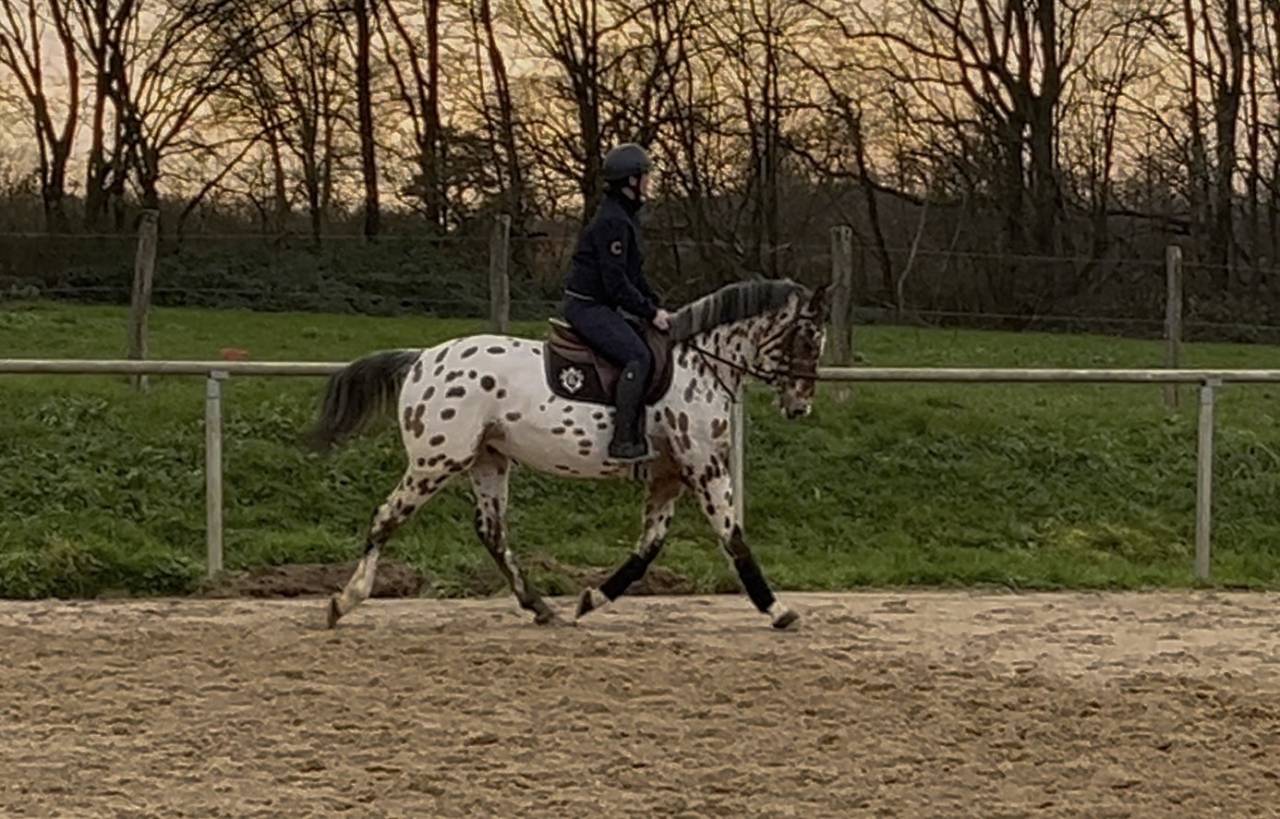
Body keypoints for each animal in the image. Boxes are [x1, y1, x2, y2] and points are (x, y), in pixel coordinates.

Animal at [309, 278, 830, 629]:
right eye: (807, 339)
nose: (800, 405)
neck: (701, 364)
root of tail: (420, 359)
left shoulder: (669, 474)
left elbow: (648, 548)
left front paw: (591, 599)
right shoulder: (704, 466)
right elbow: (734, 538)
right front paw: (779, 609)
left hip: (488, 461)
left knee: (492, 532)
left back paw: (541, 608)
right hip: (437, 461)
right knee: (386, 517)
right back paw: (346, 600)